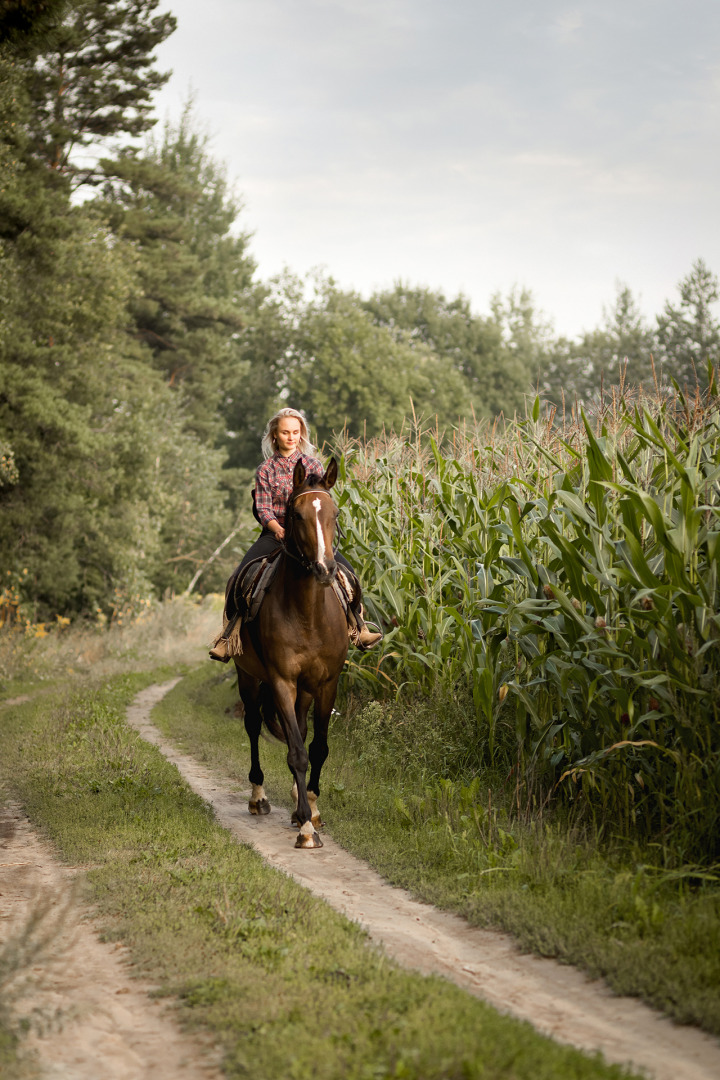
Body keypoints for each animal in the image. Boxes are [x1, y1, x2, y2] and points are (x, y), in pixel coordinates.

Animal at [232, 453, 347, 842]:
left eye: (334, 513)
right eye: (296, 515)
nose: (325, 568)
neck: (308, 612)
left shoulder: (326, 683)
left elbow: (318, 746)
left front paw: (310, 808)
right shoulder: (280, 680)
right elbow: (296, 751)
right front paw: (306, 829)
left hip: (305, 689)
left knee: (299, 725)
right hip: (248, 676)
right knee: (253, 725)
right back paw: (258, 797)